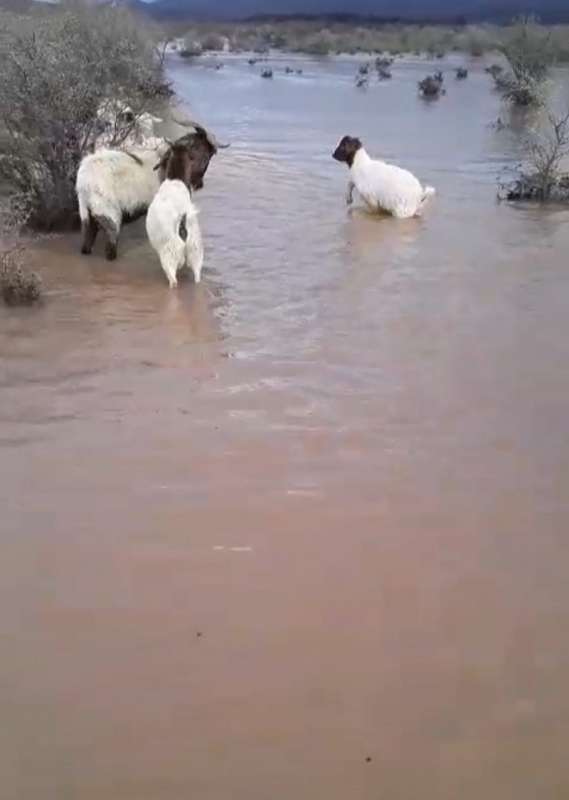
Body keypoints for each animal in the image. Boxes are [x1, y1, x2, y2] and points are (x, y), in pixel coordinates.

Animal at [145, 142, 203, 290]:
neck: (175, 180)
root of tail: (183, 219)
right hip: (195, 249)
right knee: (197, 274)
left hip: (169, 252)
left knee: (173, 279)